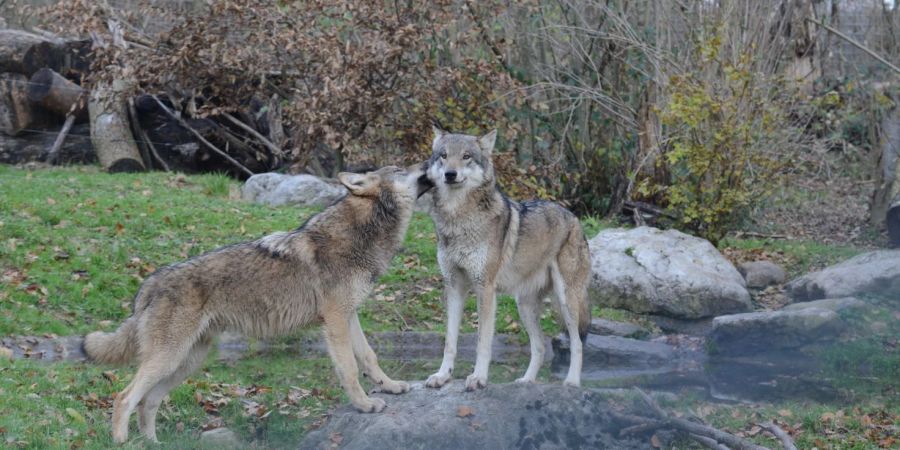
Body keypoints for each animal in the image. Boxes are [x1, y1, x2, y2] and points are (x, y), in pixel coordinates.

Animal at [84, 165, 432, 442]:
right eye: (401, 169)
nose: (430, 163)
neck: (361, 234)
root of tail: (149, 284)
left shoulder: (350, 316)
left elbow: (369, 357)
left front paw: (390, 386)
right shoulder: (334, 320)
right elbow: (348, 368)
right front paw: (364, 405)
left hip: (187, 361)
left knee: (148, 402)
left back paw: (153, 444)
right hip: (169, 358)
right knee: (124, 397)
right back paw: (122, 442)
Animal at [426, 126, 596, 390]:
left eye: (466, 156)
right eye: (443, 155)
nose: (450, 174)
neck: (458, 220)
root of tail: (574, 217)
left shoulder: (485, 289)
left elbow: (483, 341)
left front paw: (478, 378)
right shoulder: (454, 287)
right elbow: (450, 341)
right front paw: (443, 376)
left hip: (566, 300)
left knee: (577, 343)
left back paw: (571, 382)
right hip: (524, 305)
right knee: (539, 345)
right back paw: (526, 381)